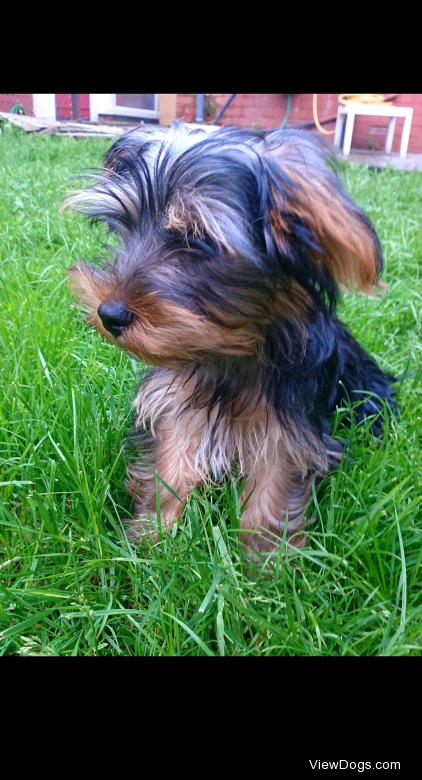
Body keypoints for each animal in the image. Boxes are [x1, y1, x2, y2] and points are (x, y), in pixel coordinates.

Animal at [64, 119, 394, 552]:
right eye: (125, 226)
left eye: (196, 240)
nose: (109, 314)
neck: (230, 346)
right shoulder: (176, 402)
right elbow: (171, 461)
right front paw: (152, 537)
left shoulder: (288, 426)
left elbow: (274, 487)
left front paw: (265, 559)